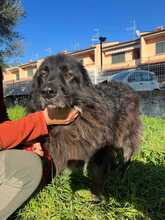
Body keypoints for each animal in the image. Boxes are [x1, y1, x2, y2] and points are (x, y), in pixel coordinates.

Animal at [28, 54, 142, 197]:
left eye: (69, 74)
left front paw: (97, 198)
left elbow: (97, 176)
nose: (47, 92)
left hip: (125, 137)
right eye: (43, 73)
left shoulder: (99, 150)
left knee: (126, 157)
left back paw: (121, 177)